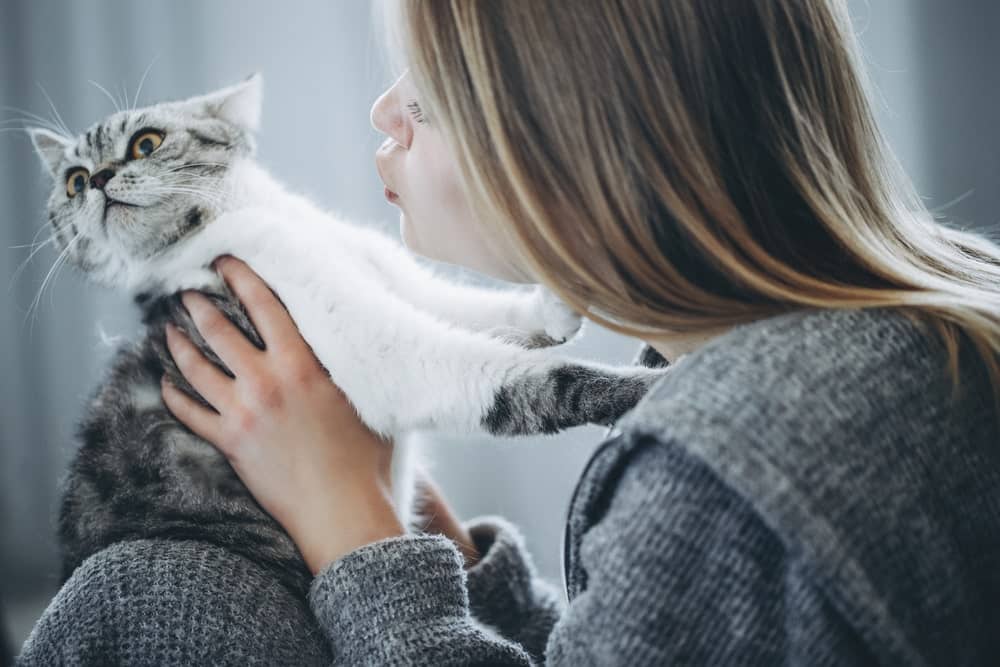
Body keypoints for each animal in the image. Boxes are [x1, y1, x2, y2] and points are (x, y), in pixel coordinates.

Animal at [29, 74, 672, 596]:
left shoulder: (383, 271)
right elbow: (533, 380)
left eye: (146, 142)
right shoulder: (381, 353)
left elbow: (463, 305)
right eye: (73, 180)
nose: (98, 179)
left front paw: (556, 302)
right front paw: (649, 390)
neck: (258, 219)